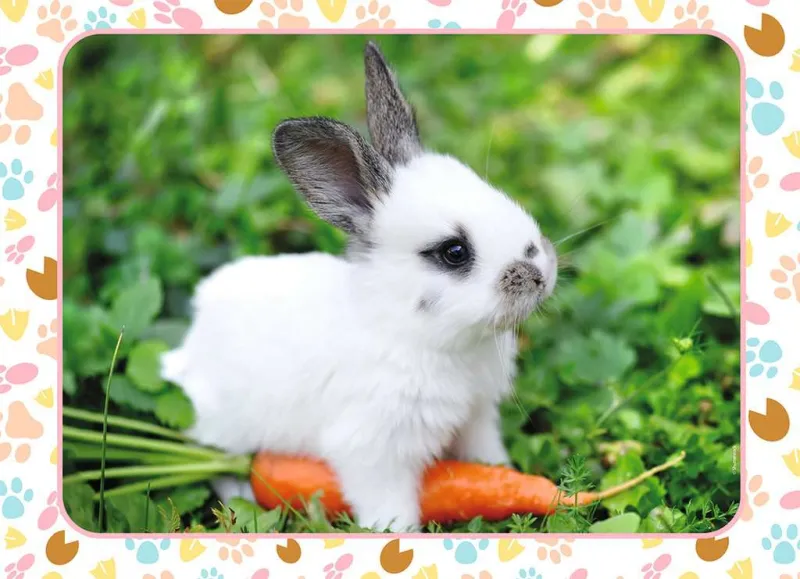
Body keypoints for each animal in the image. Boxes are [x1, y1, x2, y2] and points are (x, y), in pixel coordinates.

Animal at [161, 41, 558, 532]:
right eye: (454, 252)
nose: (541, 272)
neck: (419, 335)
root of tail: (190, 347)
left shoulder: (476, 417)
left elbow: (485, 459)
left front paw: (503, 475)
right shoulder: (374, 450)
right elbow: (390, 506)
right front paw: (399, 533)